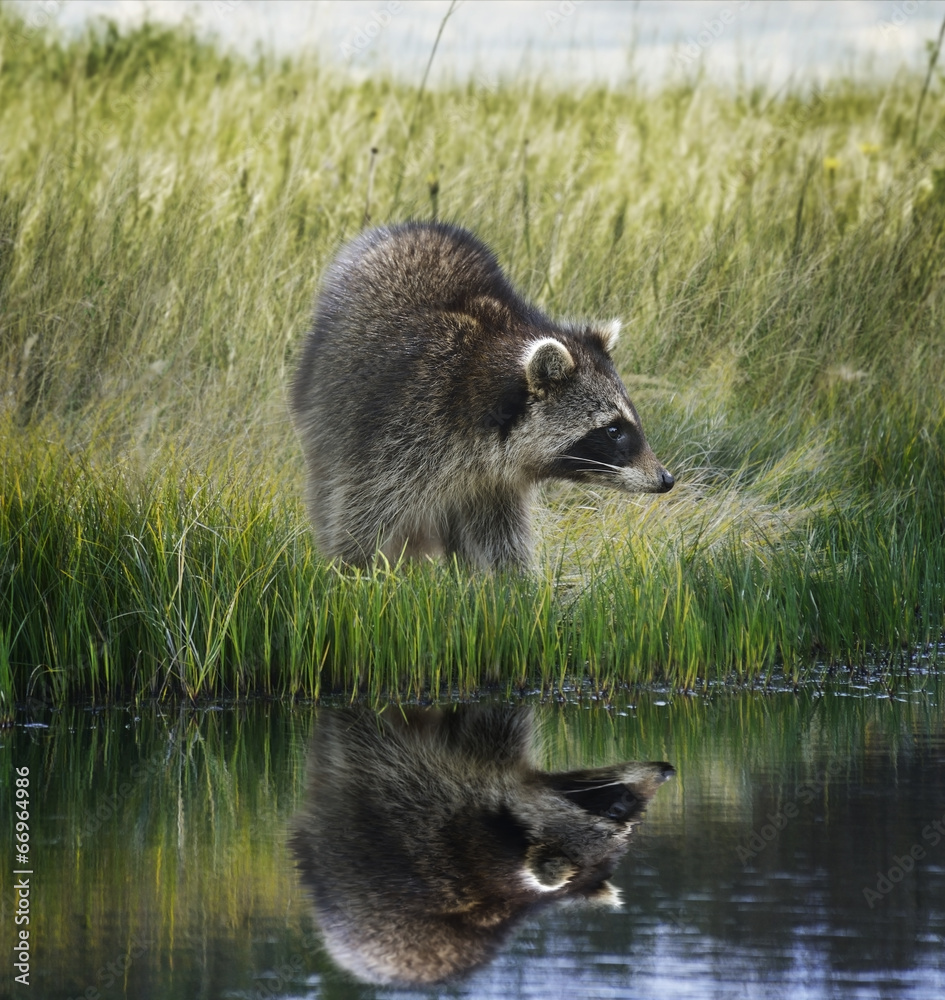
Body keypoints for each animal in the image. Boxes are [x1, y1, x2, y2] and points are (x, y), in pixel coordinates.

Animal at [288, 224, 672, 576]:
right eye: (612, 430)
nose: (666, 479)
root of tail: (412, 228)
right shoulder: (401, 430)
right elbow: (361, 510)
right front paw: (351, 573)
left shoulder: (494, 484)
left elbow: (502, 537)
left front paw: (515, 588)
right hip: (325, 404)